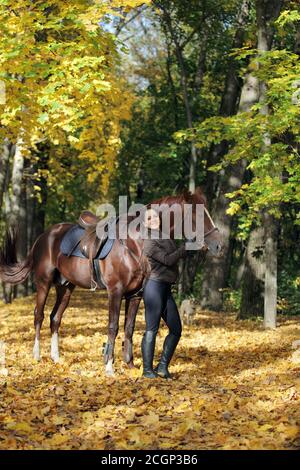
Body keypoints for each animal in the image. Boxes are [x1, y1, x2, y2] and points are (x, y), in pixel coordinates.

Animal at [0, 187, 220, 374]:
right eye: (197, 215)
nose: (217, 245)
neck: (134, 243)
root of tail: (44, 237)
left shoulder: (135, 295)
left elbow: (129, 327)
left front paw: (130, 364)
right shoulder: (115, 292)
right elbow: (113, 326)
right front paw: (109, 367)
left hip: (66, 287)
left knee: (55, 318)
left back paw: (56, 357)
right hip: (43, 283)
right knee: (39, 315)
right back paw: (37, 355)